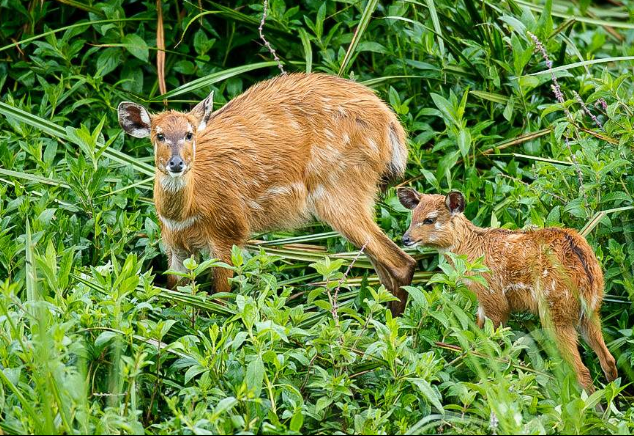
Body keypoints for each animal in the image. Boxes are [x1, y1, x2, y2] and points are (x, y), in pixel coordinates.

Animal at [118, 73, 414, 316]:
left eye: (190, 134)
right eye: (159, 135)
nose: (177, 163)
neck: (187, 210)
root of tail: (391, 124)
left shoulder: (228, 233)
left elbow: (220, 300)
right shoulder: (174, 246)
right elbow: (175, 297)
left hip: (340, 188)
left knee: (402, 262)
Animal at [398, 189, 616, 394]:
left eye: (430, 219)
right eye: (413, 216)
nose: (405, 239)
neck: (472, 249)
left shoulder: (493, 298)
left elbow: (485, 345)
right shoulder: (482, 305)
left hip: (555, 311)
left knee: (582, 371)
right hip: (591, 311)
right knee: (609, 361)